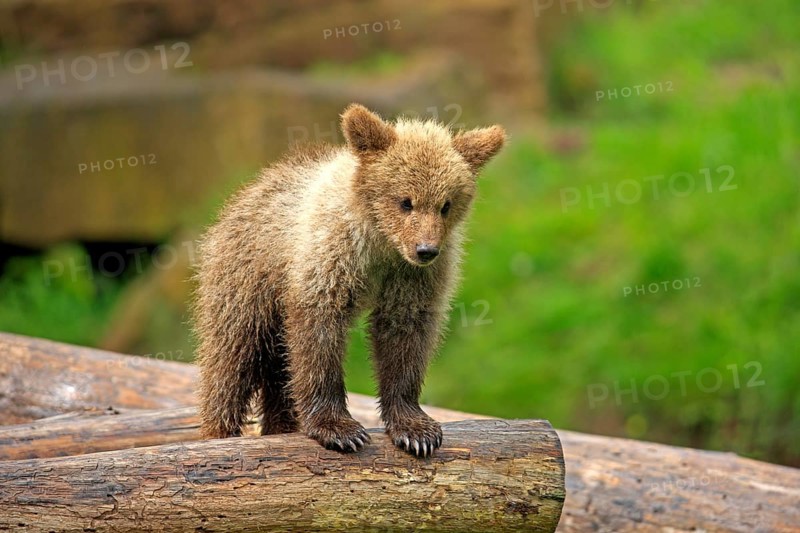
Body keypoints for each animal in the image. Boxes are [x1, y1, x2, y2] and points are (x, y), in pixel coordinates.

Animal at [194, 103, 505, 457]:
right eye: (405, 201)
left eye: (446, 204)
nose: (426, 249)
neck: (381, 243)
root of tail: (242, 194)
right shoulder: (330, 259)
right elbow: (320, 337)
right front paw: (340, 430)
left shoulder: (411, 279)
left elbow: (405, 337)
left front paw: (416, 430)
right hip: (246, 281)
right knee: (232, 362)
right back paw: (219, 433)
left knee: (276, 371)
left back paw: (281, 428)